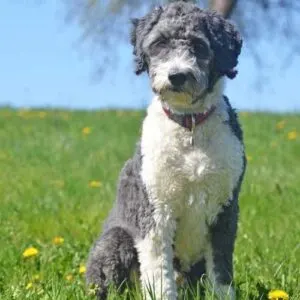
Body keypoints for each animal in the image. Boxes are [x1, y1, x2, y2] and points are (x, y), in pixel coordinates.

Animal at [85, 1, 245, 298]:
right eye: (159, 43)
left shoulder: (225, 208)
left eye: (199, 45)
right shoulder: (156, 208)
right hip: (115, 241)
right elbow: (159, 269)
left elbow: (221, 268)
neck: (189, 128)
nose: (177, 76)